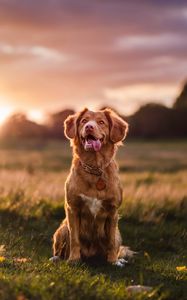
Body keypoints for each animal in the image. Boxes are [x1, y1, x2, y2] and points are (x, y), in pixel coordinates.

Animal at [49, 108, 131, 268]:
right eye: (84, 121)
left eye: (101, 122)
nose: (89, 127)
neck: (94, 167)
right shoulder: (72, 208)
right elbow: (74, 239)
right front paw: (73, 259)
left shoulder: (113, 211)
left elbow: (111, 242)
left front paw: (113, 261)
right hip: (61, 229)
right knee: (60, 249)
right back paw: (57, 258)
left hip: (118, 233)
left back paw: (119, 259)